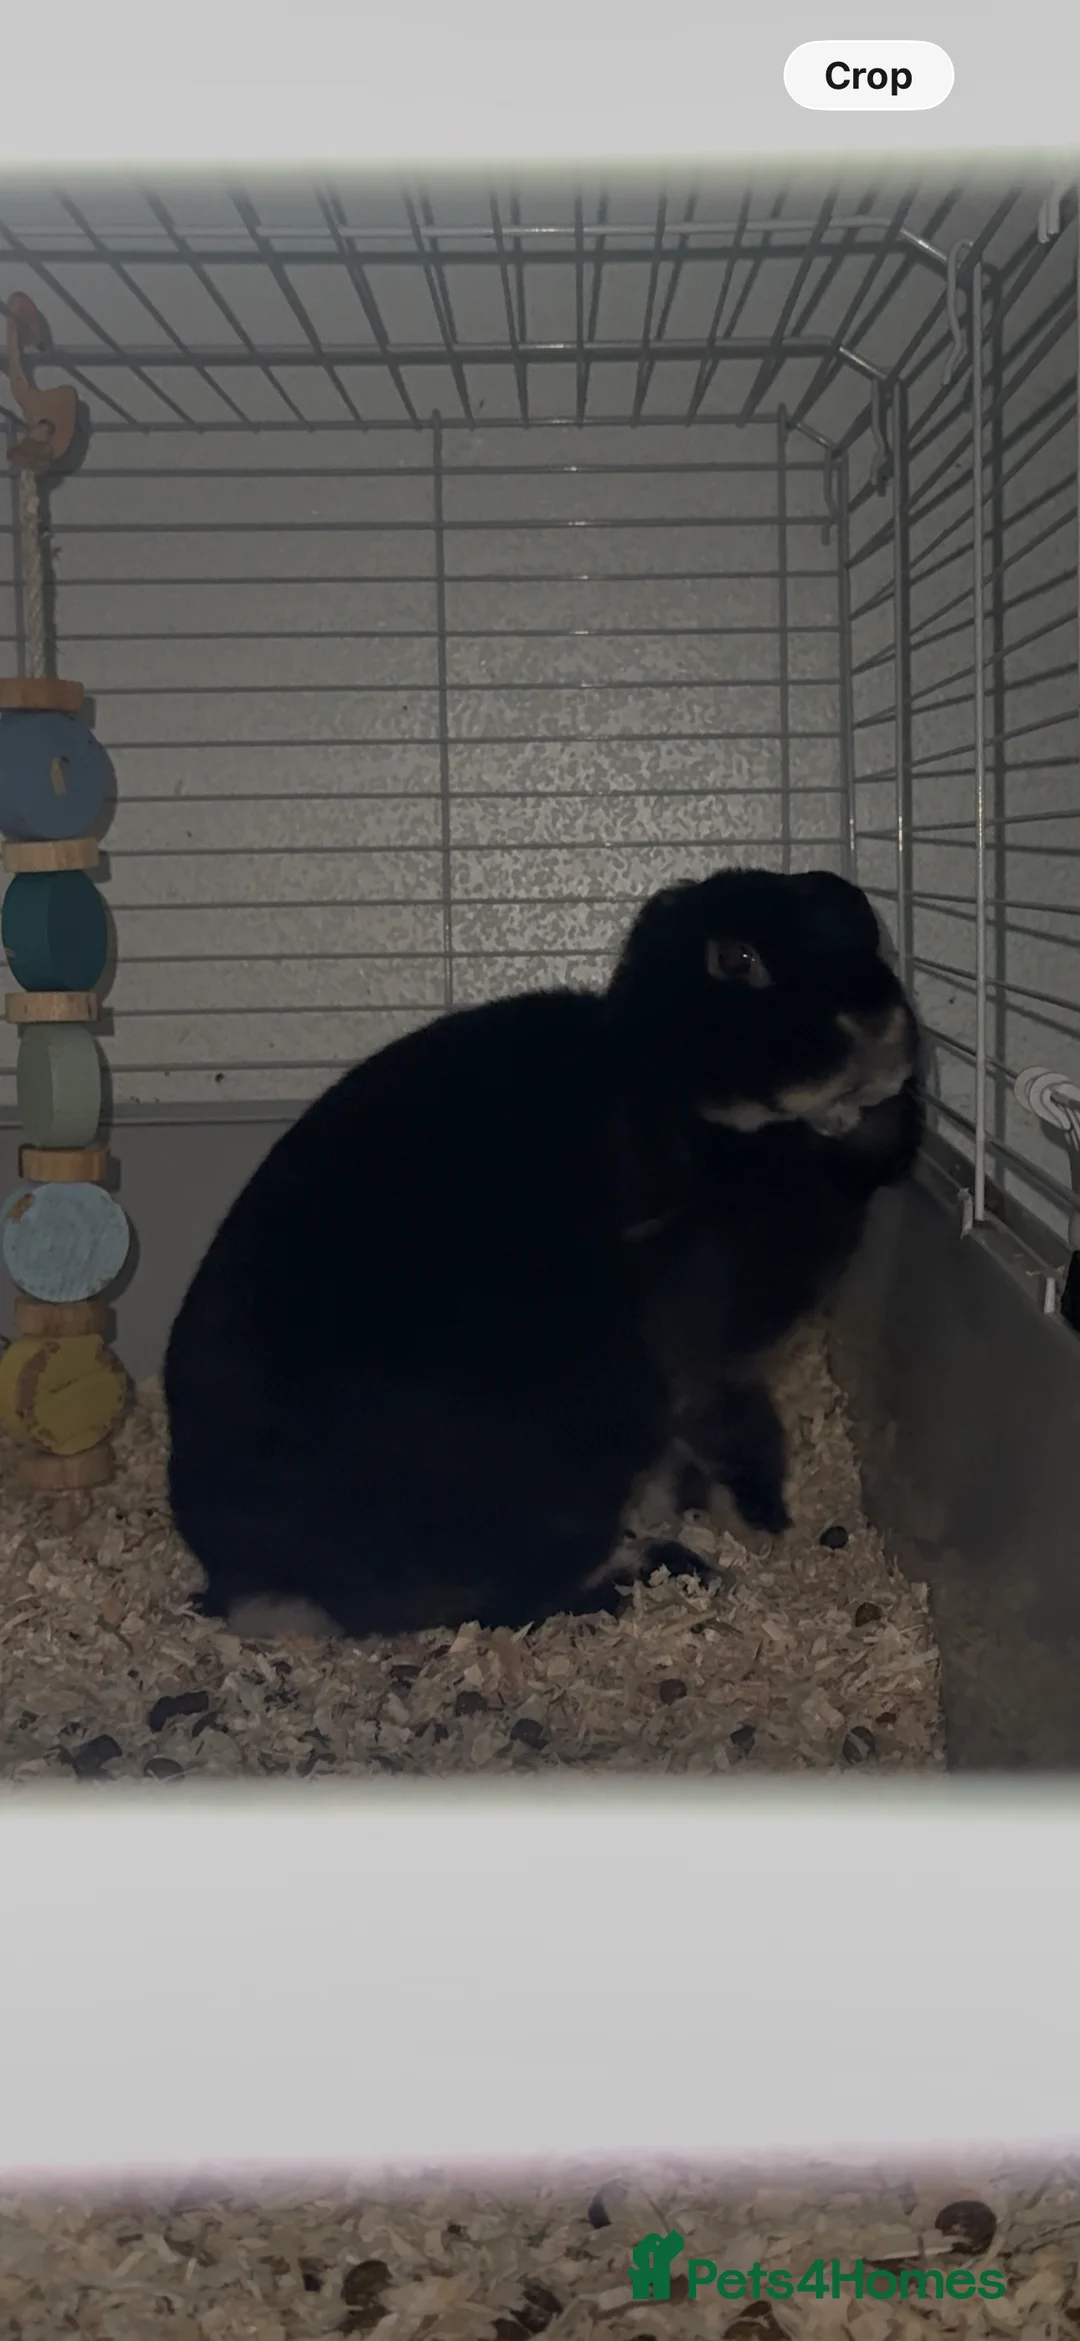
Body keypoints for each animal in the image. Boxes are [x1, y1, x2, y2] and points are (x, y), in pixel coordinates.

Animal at [163, 865, 922, 1640]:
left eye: (865, 924)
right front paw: (762, 1525)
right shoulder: (705, 1356)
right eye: (735, 958)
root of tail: (259, 1582)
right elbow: (737, 1432)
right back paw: (658, 1569)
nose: (877, 1025)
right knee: (499, 1601)